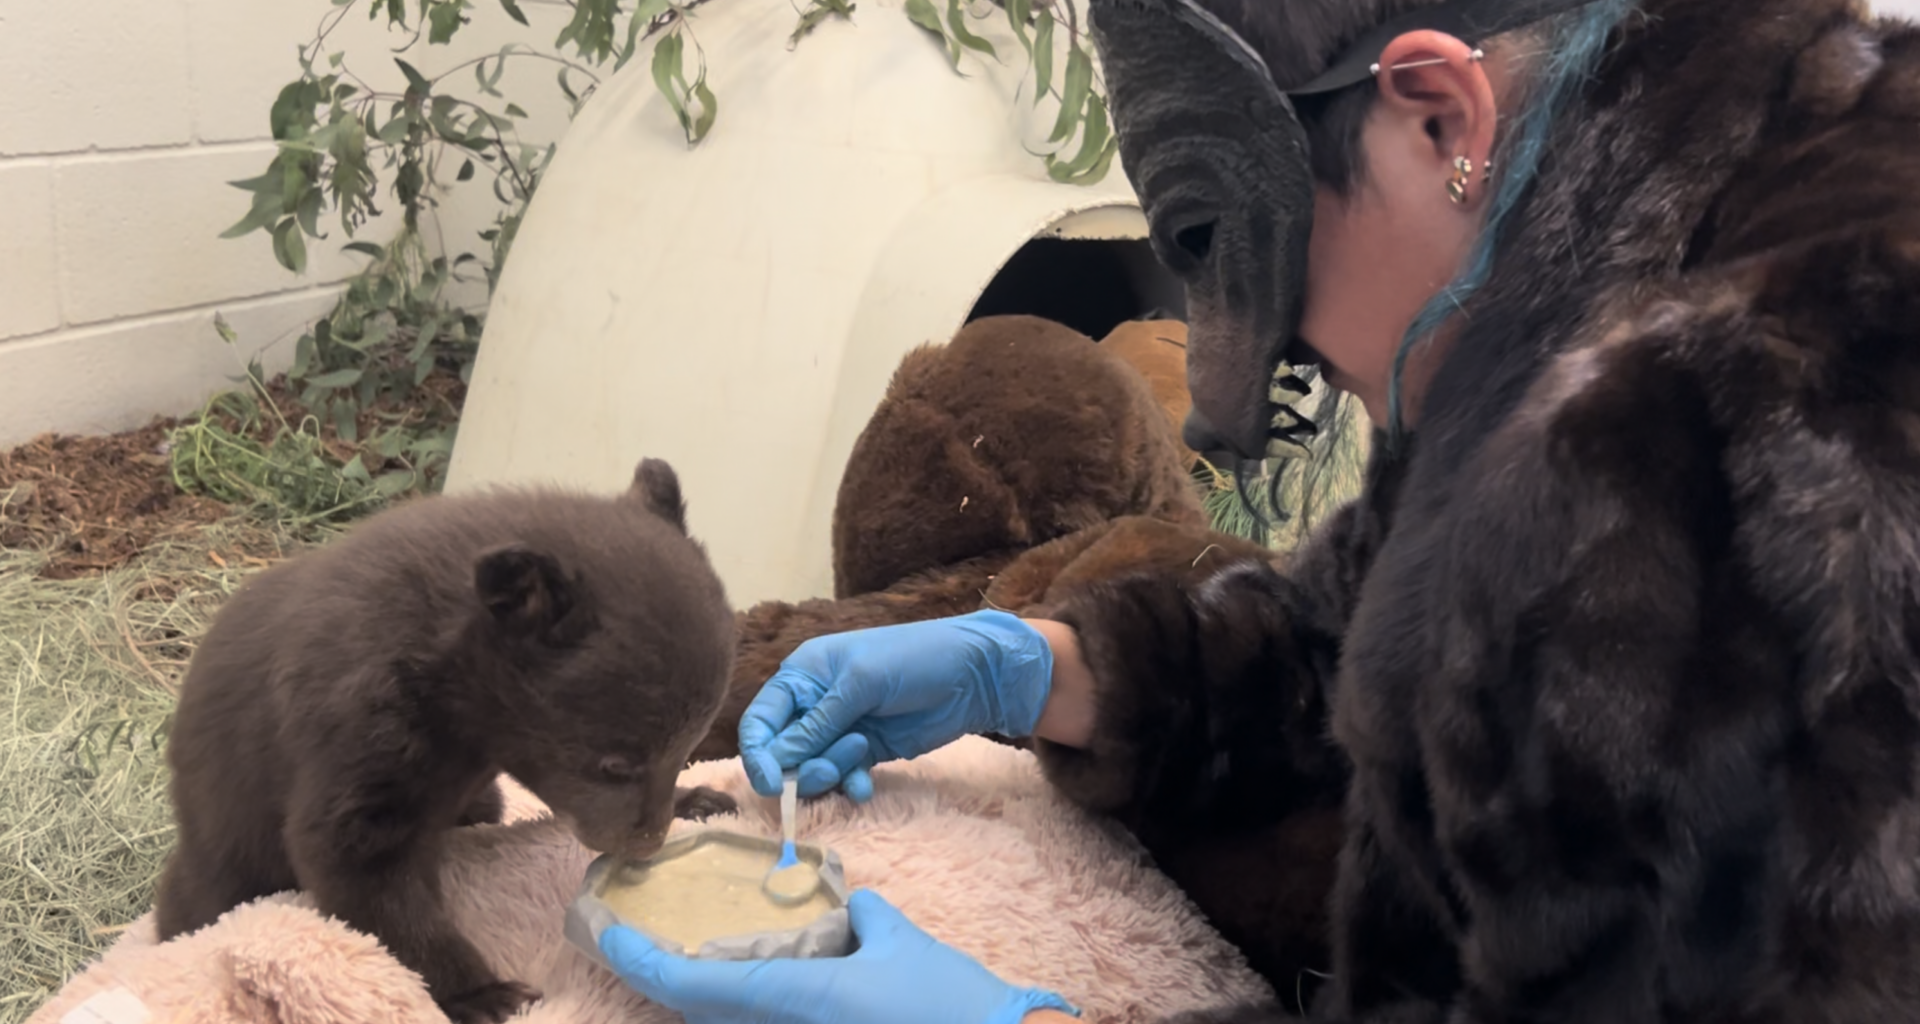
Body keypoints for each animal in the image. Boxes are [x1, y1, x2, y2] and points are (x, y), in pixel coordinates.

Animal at [152, 457, 739, 1024]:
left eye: (689, 745)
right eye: (615, 764)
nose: (649, 844)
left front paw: (698, 798)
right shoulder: (361, 729)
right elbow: (361, 866)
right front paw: (484, 993)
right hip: (225, 850)